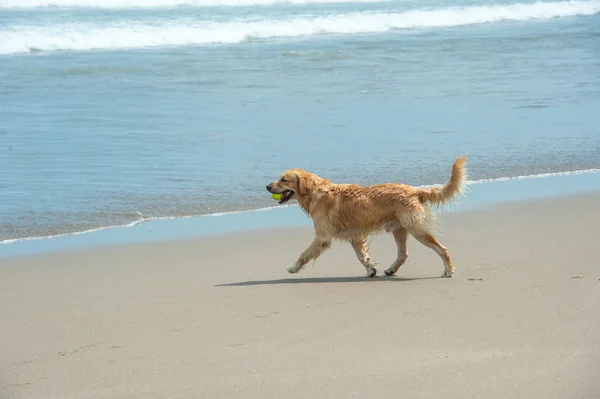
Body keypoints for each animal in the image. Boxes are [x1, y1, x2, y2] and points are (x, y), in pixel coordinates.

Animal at [268, 155, 468, 278]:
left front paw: (293, 267)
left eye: (283, 179)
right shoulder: (354, 236)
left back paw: (448, 270)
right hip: (399, 229)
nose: (267, 186)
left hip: (417, 229)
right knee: (403, 254)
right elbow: (362, 256)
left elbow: (304, 253)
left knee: (442, 249)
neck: (315, 192)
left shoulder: (322, 236)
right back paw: (391, 269)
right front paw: (371, 269)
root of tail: (415, 191)